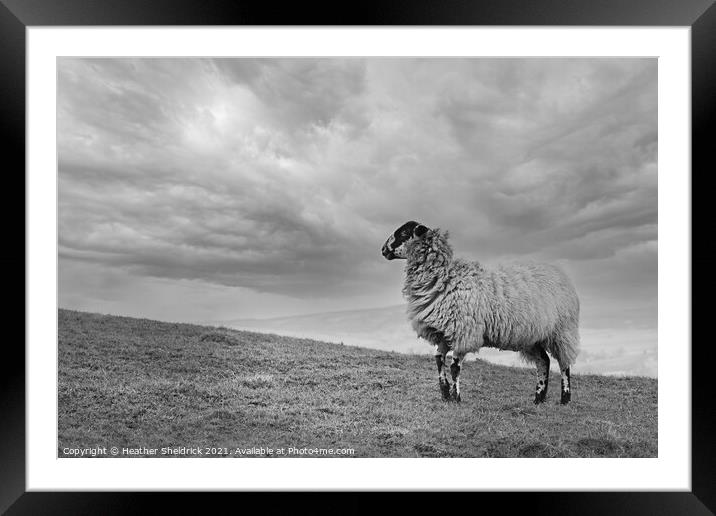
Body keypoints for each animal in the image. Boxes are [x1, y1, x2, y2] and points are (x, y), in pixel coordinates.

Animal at [384, 220, 580, 406]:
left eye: (404, 232)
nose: (383, 250)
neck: (445, 278)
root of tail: (560, 274)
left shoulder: (464, 333)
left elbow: (454, 367)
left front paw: (456, 398)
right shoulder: (445, 333)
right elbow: (439, 360)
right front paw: (445, 394)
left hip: (562, 331)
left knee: (564, 363)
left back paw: (565, 398)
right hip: (532, 337)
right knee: (543, 362)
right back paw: (538, 398)